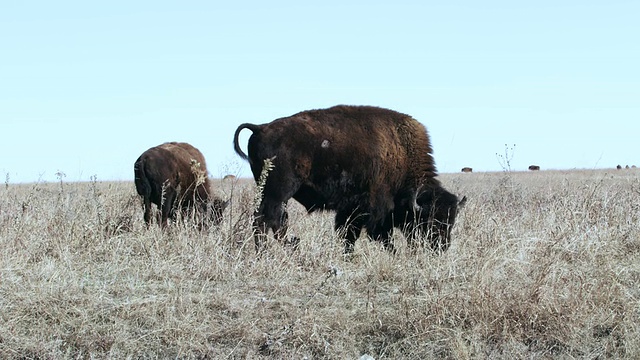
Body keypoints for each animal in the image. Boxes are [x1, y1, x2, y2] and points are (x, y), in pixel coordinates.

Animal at [232, 104, 462, 253]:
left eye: (451, 220)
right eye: (430, 221)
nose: (442, 247)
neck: (401, 152)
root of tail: (260, 127)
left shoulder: (350, 208)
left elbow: (348, 234)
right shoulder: (376, 208)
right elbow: (379, 236)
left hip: (271, 192)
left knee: (274, 220)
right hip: (279, 191)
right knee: (267, 219)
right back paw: (271, 252)